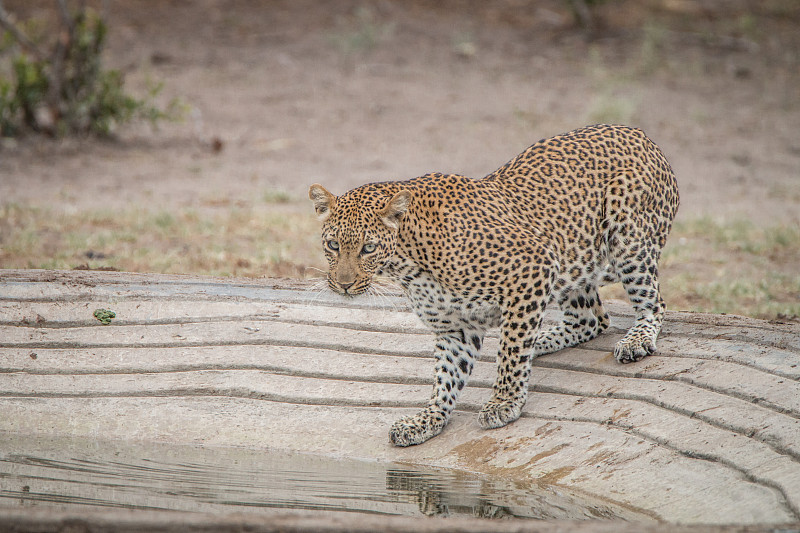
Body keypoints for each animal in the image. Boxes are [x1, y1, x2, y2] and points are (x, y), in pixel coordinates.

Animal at [310, 123, 680, 444]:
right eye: (333, 245)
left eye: (368, 248)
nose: (343, 285)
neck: (408, 263)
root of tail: (641, 134)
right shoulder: (455, 327)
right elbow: (446, 377)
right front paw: (427, 420)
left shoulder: (533, 267)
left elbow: (512, 352)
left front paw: (505, 402)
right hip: (573, 266)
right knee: (591, 319)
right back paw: (542, 339)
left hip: (627, 238)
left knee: (652, 303)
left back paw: (636, 339)